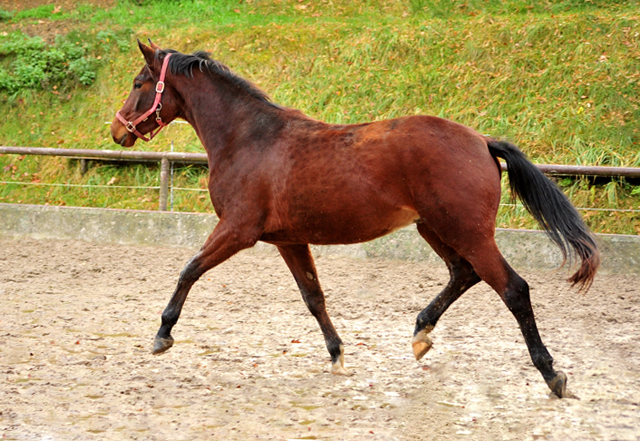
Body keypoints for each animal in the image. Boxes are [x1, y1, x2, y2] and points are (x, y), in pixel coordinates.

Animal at [111, 41, 600, 398]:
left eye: (138, 82)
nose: (116, 131)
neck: (249, 139)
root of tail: (481, 140)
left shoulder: (238, 230)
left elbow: (189, 270)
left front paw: (163, 334)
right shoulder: (289, 240)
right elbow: (314, 298)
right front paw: (337, 355)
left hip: (466, 231)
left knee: (513, 289)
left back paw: (552, 374)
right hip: (435, 228)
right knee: (464, 274)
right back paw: (421, 335)